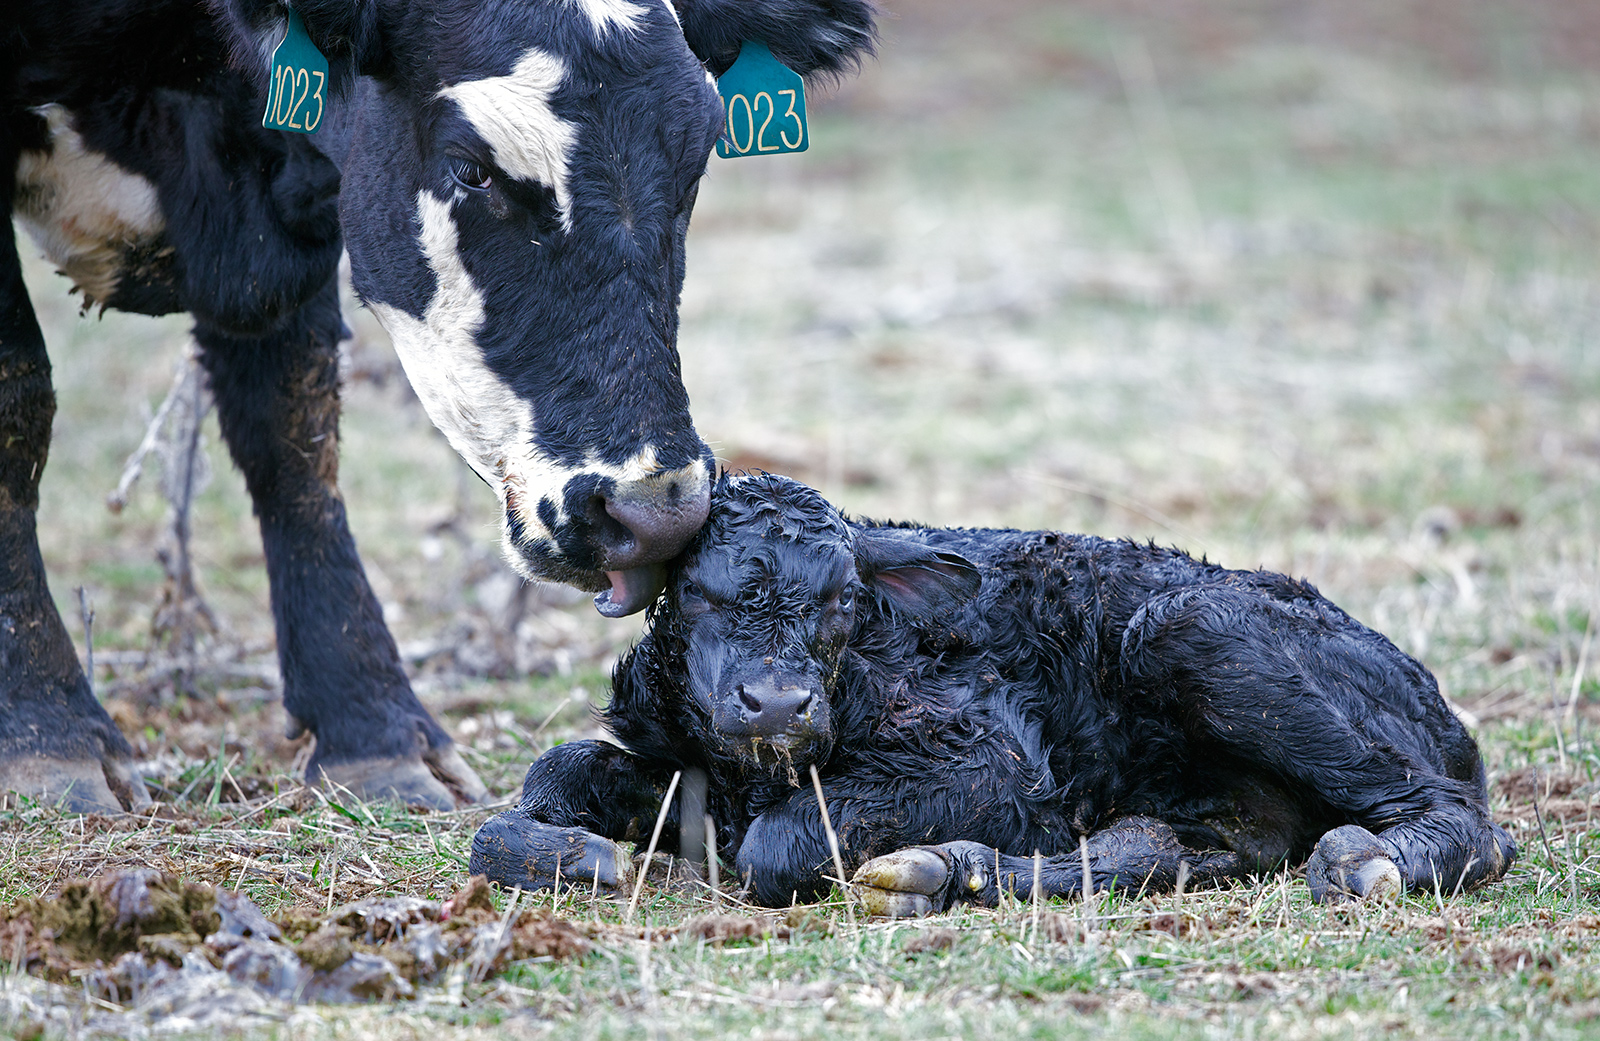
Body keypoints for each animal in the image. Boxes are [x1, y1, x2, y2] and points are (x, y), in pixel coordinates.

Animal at [2, 1, 876, 812]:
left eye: (695, 165)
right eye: (472, 169)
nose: (655, 513)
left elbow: (293, 433)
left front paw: (371, 729)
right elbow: (21, 400)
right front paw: (47, 734)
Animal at [469, 472, 1516, 912]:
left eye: (841, 596)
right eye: (695, 591)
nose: (774, 704)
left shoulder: (997, 763)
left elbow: (776, 844)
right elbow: (548, 774)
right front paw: (580, 856)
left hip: (1191, 625)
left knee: (1462, 820)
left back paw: (1369, 863)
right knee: (1154, 845)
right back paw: (947, 871)